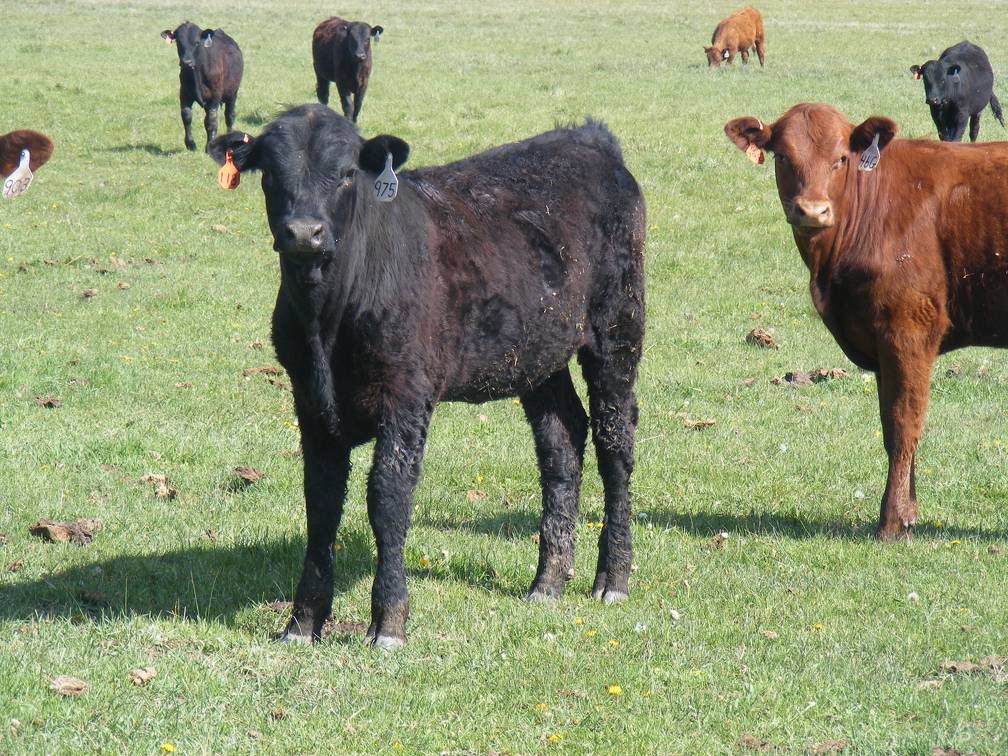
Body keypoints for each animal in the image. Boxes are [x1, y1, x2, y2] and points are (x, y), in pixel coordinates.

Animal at [164, 21, 246, 151]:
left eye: (197, 42)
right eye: (178, 42)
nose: (187, 62)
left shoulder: (215, 96)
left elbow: (211, 121)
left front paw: (209, 146)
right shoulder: (184, 94)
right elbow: (186, 116)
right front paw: (190, 144)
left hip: (233, 93)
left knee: (229, 116)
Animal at [208, 105, 645, 653]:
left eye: (347, 173)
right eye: (269, 172)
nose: (304, 233)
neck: (325, 324)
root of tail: (587, 137)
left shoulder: (406, 394)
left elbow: (388, 497)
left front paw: (389, 622)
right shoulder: (309, 401)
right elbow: (321, 504)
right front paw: (302, 622)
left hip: (618, 327)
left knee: (615, 443)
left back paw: (613, 578)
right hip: (538, 354)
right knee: (561, 442)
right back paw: (547, 581)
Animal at [725, 102, 1008, 540]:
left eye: (842, 158)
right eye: (782, 157)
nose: (812, 210)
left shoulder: (908, 330)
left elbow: (903, 425)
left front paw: (891, 522)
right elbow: (892, 428)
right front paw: (908, 515)